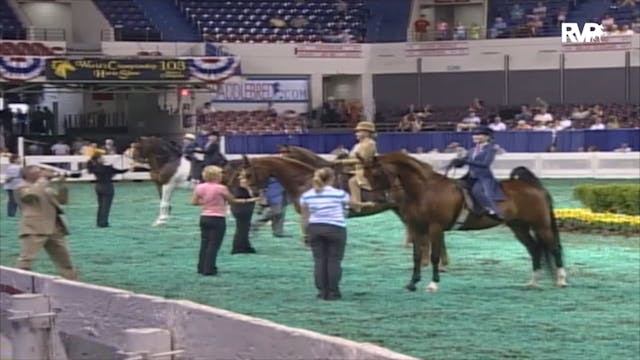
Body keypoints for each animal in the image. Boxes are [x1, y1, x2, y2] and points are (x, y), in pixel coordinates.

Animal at [360, 152, 564, 292]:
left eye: (376, 174)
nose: (376, 199)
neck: (425, 190)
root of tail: (534, 187)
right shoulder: (417, 228)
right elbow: (416, 256)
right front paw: (412, 283)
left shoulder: (435, 228)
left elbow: (434, 256)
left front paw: (433, 284)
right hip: (519, 227)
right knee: (535, 250)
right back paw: (533, 282)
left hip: (541, 226)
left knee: (553, 248)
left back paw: (561, 280)